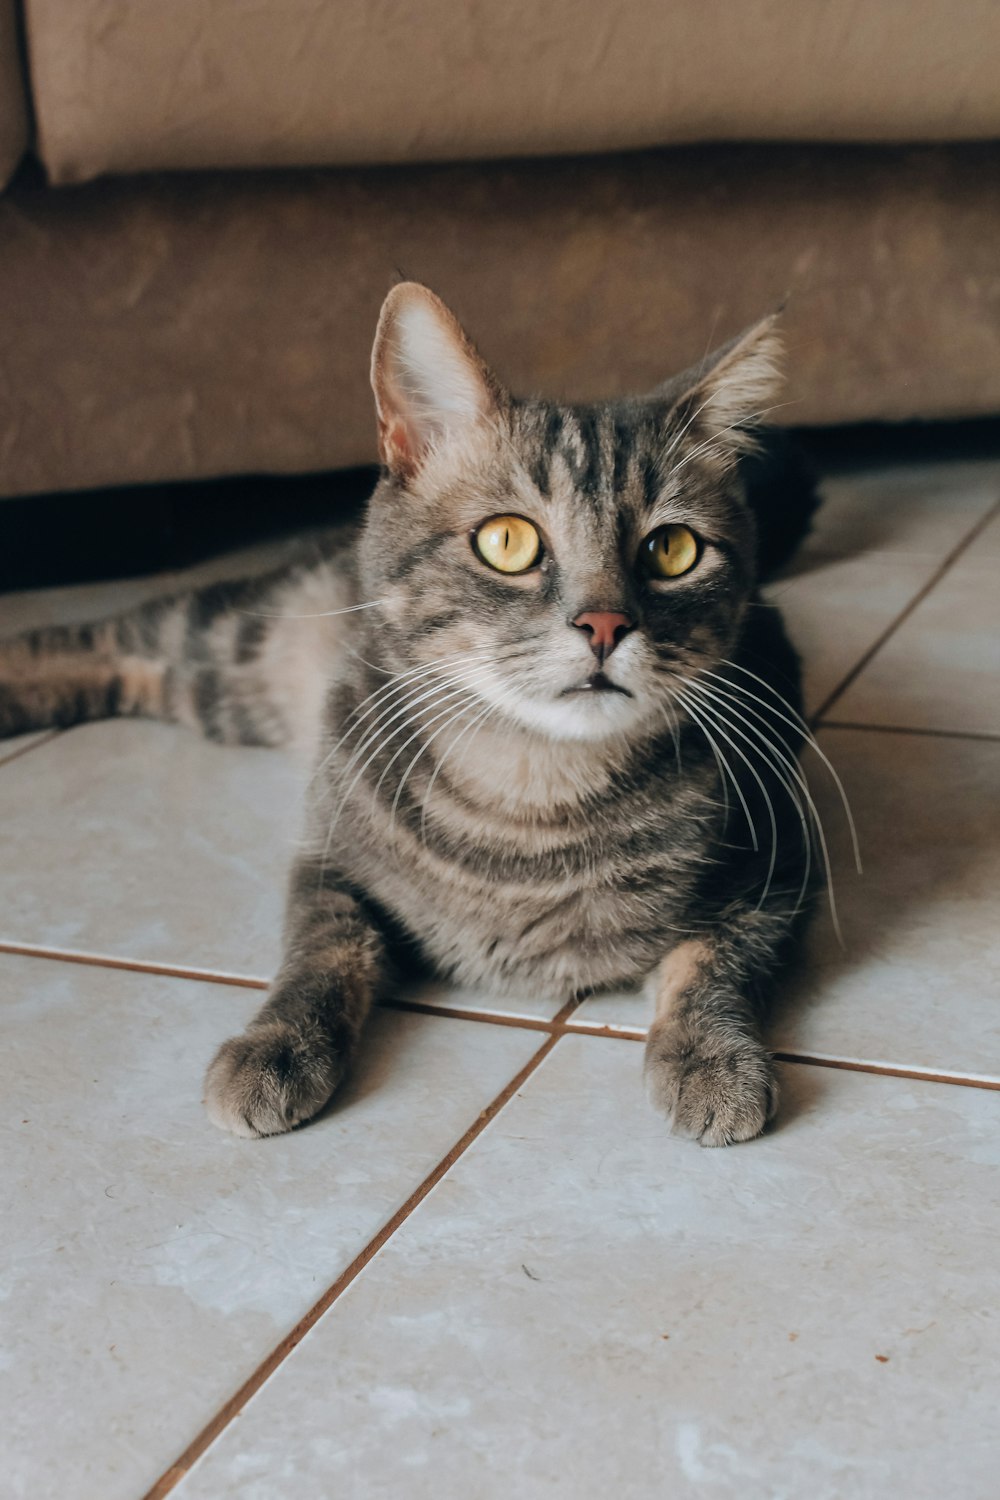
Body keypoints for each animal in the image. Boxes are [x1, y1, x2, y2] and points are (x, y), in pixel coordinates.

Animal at [0, 283, 827, 1146]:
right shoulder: (329, 855)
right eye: (508, 542)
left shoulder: (782, 866)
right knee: (92, 637)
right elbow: (323, 950)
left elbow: (718, 957)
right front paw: (274, 1045)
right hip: (232, 644)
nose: (604, 624)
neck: (531, 795)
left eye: (672, 551)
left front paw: (711, 1057)